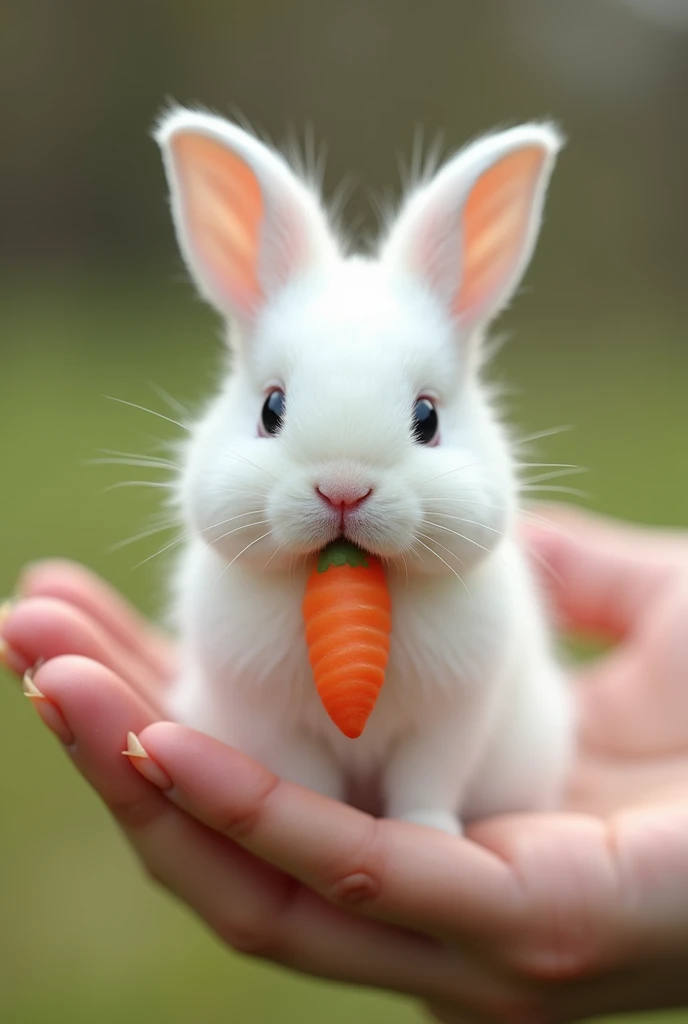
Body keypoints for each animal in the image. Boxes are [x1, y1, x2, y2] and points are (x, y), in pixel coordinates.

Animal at [153, 108, 573, 835]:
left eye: (427, 418)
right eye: (270, 408)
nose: (343, 490)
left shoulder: (450, 721)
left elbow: (427, 779)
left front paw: (428, 831)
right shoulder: (274, 722)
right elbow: (306, 775)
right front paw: (315, 810)